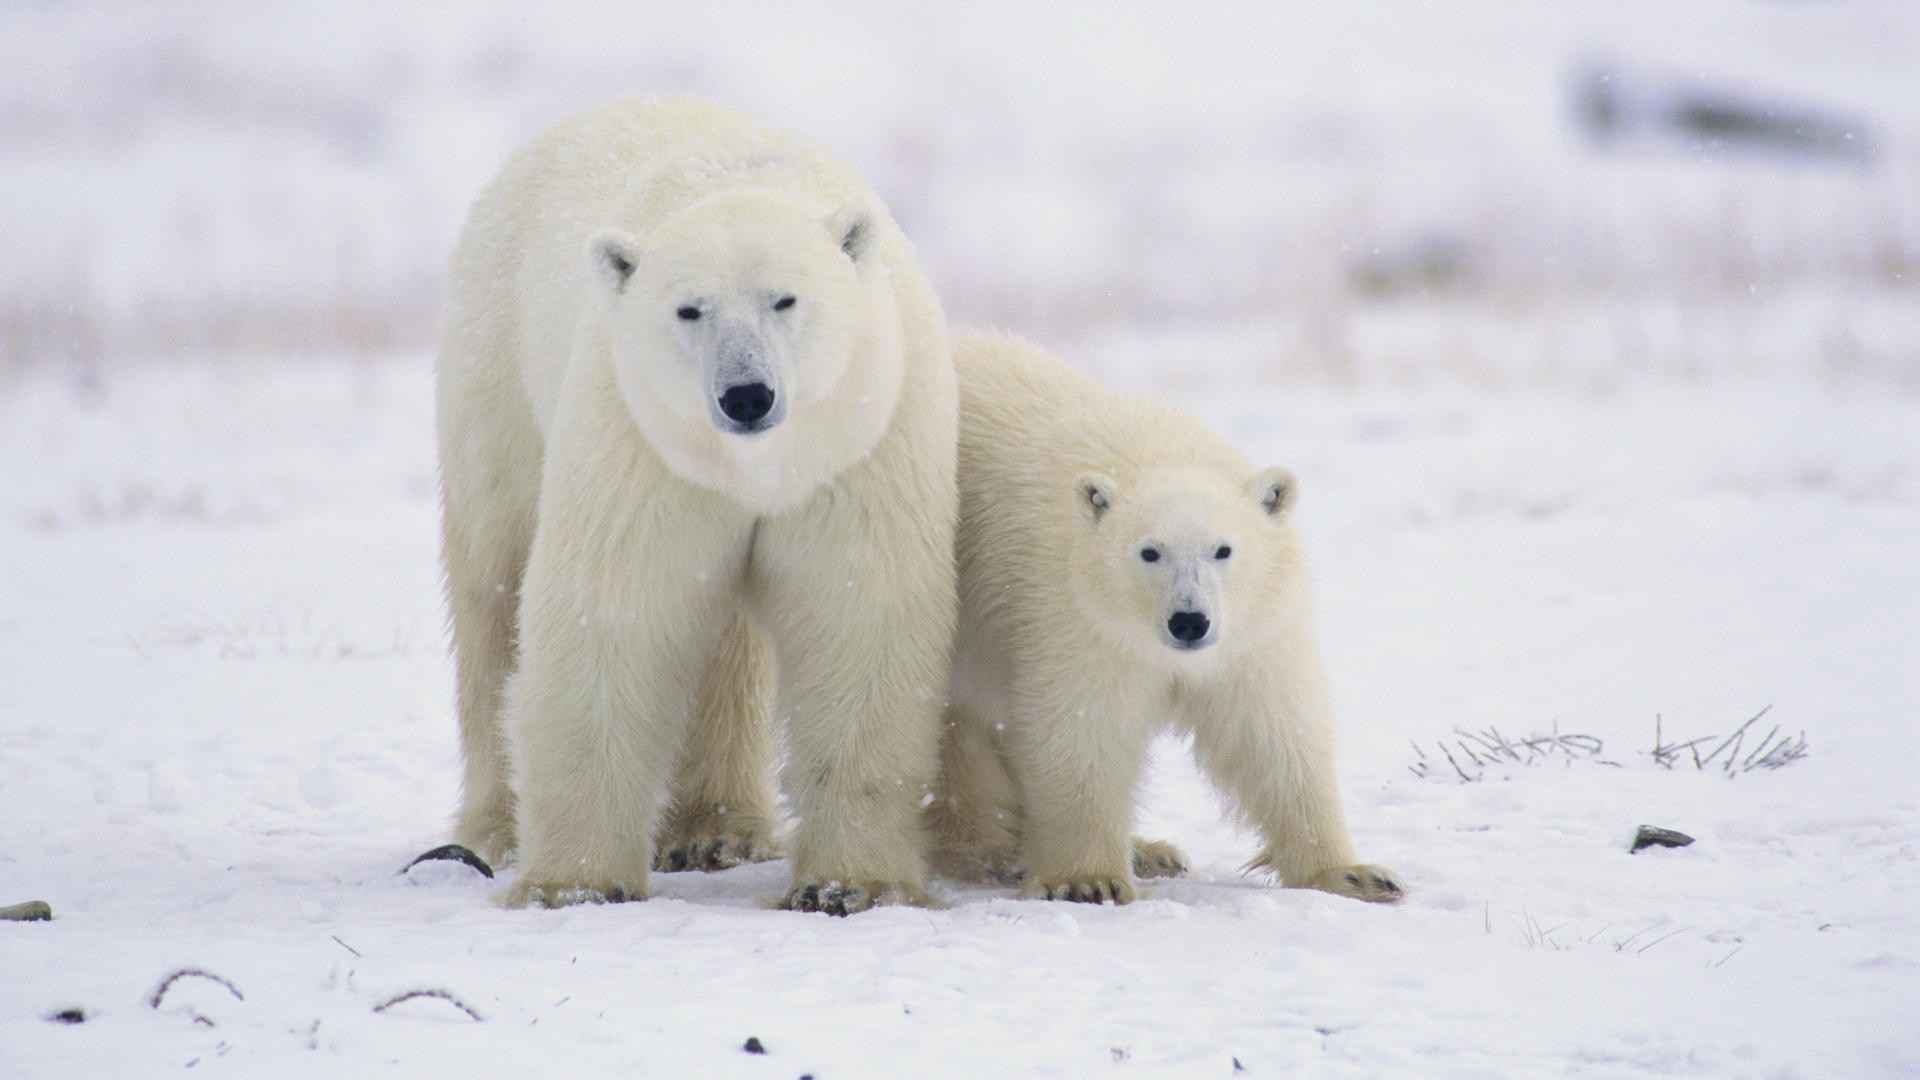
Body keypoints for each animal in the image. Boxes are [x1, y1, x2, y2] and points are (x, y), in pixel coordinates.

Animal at [441, 98, 967, 907]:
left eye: (786, 298)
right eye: (689, 309)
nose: (746, 395)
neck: (754, 468)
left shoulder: (860, 437)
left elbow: (858, 614)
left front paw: (848, 884)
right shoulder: (642, 439)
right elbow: (614, 608)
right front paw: (577, 883)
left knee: (728, 644)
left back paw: (720, 831)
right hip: (496, 373)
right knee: (492, 592)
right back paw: (494, 828)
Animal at [925, 334, 1397, 899]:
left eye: (1223, 549)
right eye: (1149, 552)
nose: (1189, 621)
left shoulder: (1252, 630)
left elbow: (1271, 731)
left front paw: (1354, 873)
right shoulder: (1075, 615)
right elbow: (1083, 727)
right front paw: (1089, 880)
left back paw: (1150, 851)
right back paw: (988, 849)